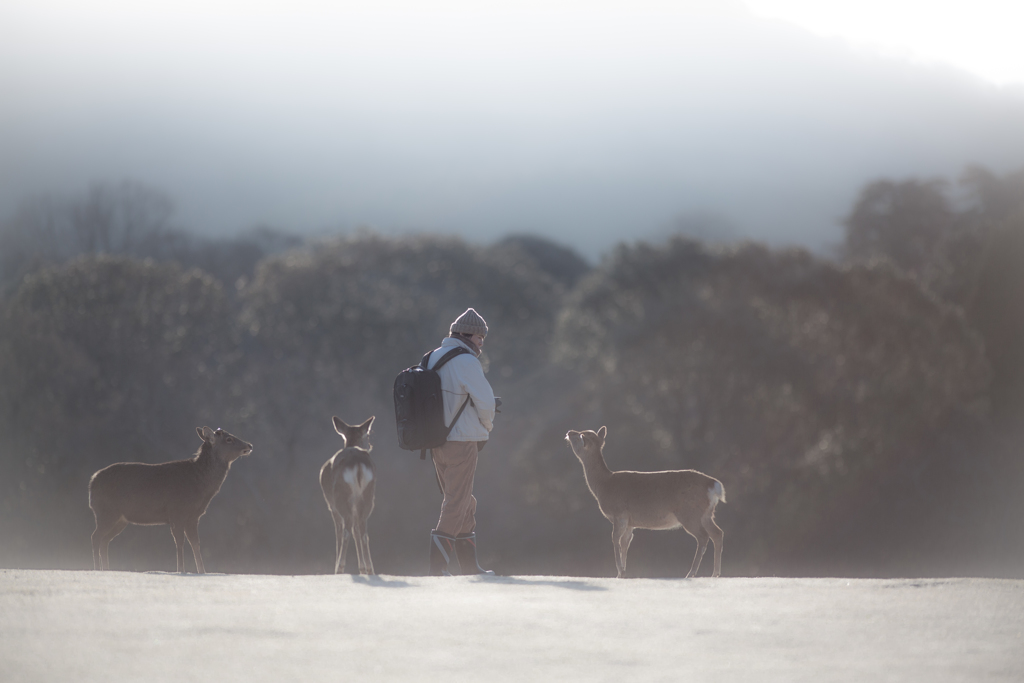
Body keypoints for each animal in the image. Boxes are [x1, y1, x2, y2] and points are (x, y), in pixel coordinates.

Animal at [90, 428, 253, 573]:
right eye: (229, 439)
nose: (249, 445)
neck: (200, 484)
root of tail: (92, 481)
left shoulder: (193, 517)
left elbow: (195, 543)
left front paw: (202, 571)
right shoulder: (177, 512)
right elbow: (180, 542)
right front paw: (181, 570)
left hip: (120, 519)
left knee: (105, 540)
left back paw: (107, 569)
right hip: (106, 511)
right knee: (96, 537)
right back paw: (97, 568)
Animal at [317, 417, 378, 577]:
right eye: (366, 436)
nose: (369, 446)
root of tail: (357, 464)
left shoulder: (331, 505)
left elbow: (338, 531)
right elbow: (357, 532)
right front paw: (362, 568)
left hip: (341, 497)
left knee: (346, 530)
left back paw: (339, 568)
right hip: (368, 496)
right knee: (362, 531)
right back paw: (370, 569)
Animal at [565, 428, 724, 577]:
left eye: (580, 435)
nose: (569, 431)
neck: (603, 485)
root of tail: (714, 485)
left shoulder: (619, 513)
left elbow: (615, 539)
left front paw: (619, 572)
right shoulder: (630, 522)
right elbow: (625, 543)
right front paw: (623, 573)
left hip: (689, 512)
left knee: (703, 536)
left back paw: (691, 573)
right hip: (706, 514)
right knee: (717, 533)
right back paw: (715, 573)